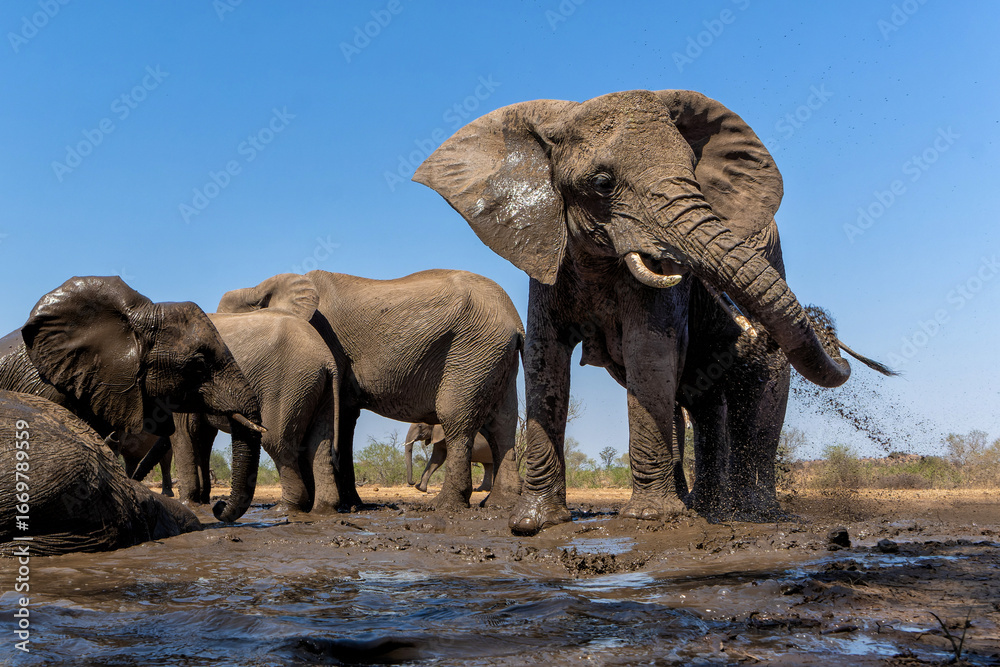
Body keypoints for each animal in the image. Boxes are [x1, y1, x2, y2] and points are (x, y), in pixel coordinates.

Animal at [217, 270, 523, 510]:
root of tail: (515, 320)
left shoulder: (325, 340)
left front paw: (338, 504)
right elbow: (345, 419)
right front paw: (349, 504)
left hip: (472, 348)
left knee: (456, 419)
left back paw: (445, 505)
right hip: (496, 358)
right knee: (503, 425)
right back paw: (498, 503)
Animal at [415, 89, 866, 534]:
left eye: (692, 170)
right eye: (601, 184)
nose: (745, 321)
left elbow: (648, 350)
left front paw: (652, 518)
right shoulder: (545, 250)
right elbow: (547, 357)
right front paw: (533, 523)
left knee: (758, 400)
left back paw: (751, 514)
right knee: (703, 401)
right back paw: (707, 507)